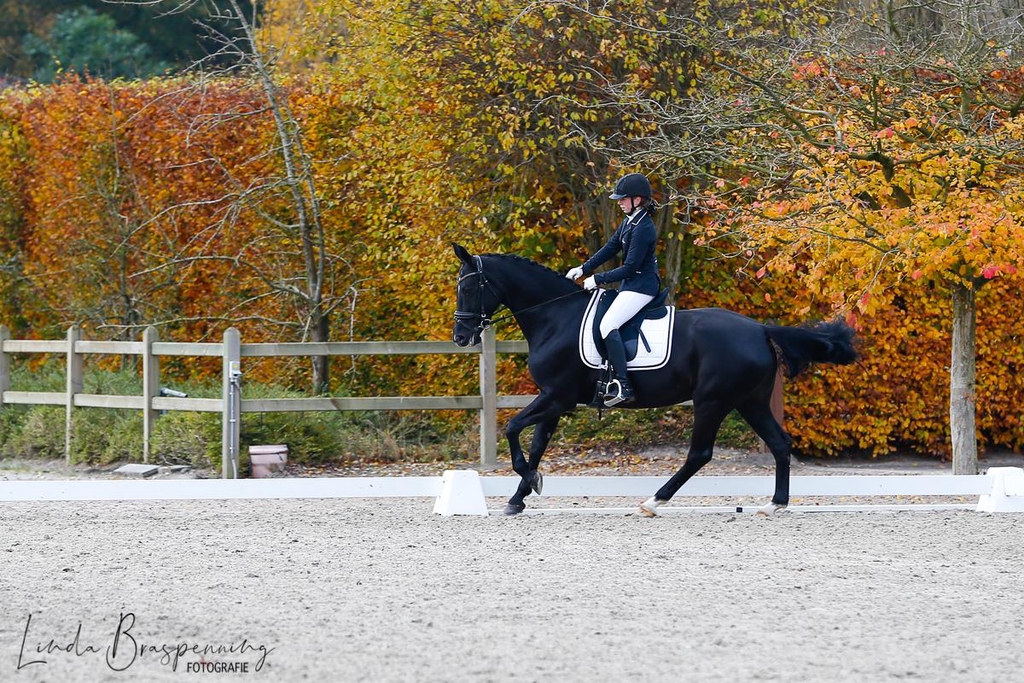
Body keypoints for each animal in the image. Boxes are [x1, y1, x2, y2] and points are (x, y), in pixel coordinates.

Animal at [451, 244, 859, 516]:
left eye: (469, 288)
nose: (460, 337)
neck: (555, 317)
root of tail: (760, 329)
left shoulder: (558, 397)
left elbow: (513, 429)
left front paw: (529, 482)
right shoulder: (552, 398)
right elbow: (535, 445)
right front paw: (518, 498)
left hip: (713, 400)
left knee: (700, 454)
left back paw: (653, 501)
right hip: (750, 401)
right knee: (779, 443)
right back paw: (775, 504)